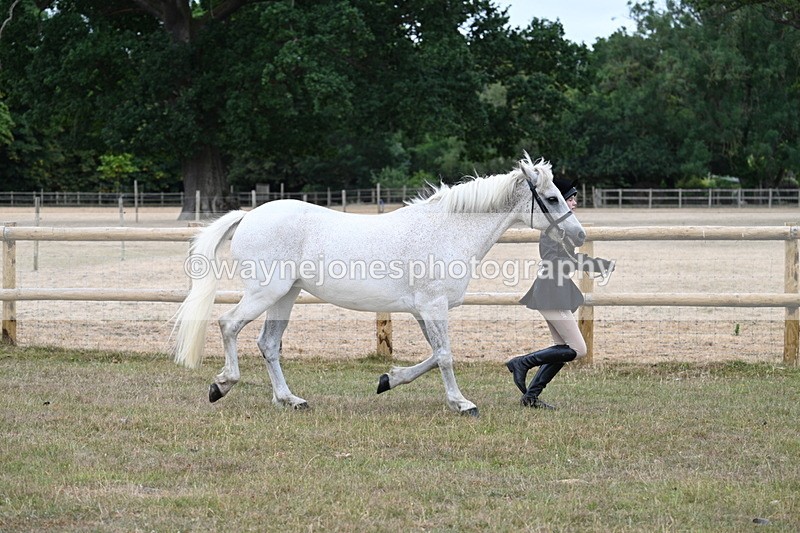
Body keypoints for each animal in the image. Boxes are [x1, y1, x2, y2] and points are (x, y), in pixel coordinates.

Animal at [172, 153, 585, 416]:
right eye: (551, 198)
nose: (579, 234)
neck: (446, 231)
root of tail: (248, 215)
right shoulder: (433, 306)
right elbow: (445, 355)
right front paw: (463, 404)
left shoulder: (422, 311)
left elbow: (434, 355)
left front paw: (388, 379)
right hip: (265, 292)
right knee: (229, 325)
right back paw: (222, 385)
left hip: (285, 296)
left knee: (268, 344)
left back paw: (290, 400)